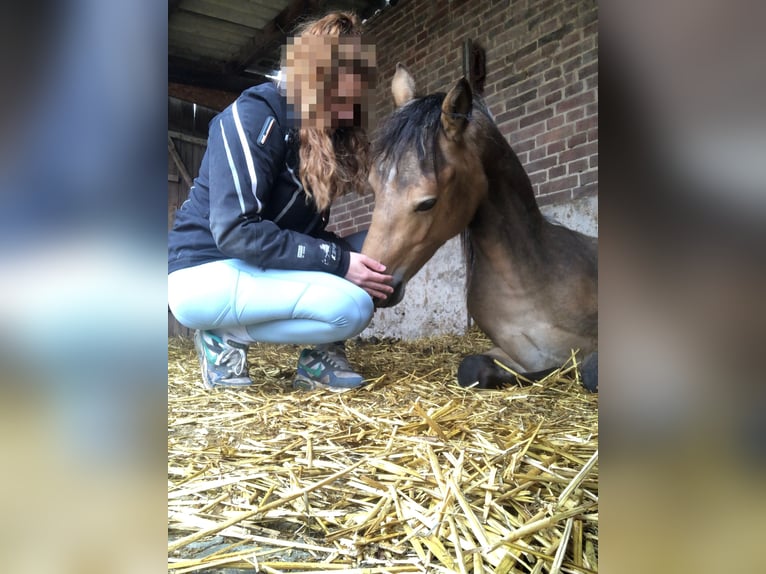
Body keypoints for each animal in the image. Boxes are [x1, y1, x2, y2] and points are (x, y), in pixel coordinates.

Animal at [360, 65, 600, 394]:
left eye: (427, 202)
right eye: (373, 188)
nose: (371, 287)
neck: (528, 285)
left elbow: (590, 371)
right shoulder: (513, 353)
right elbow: (471, 368)